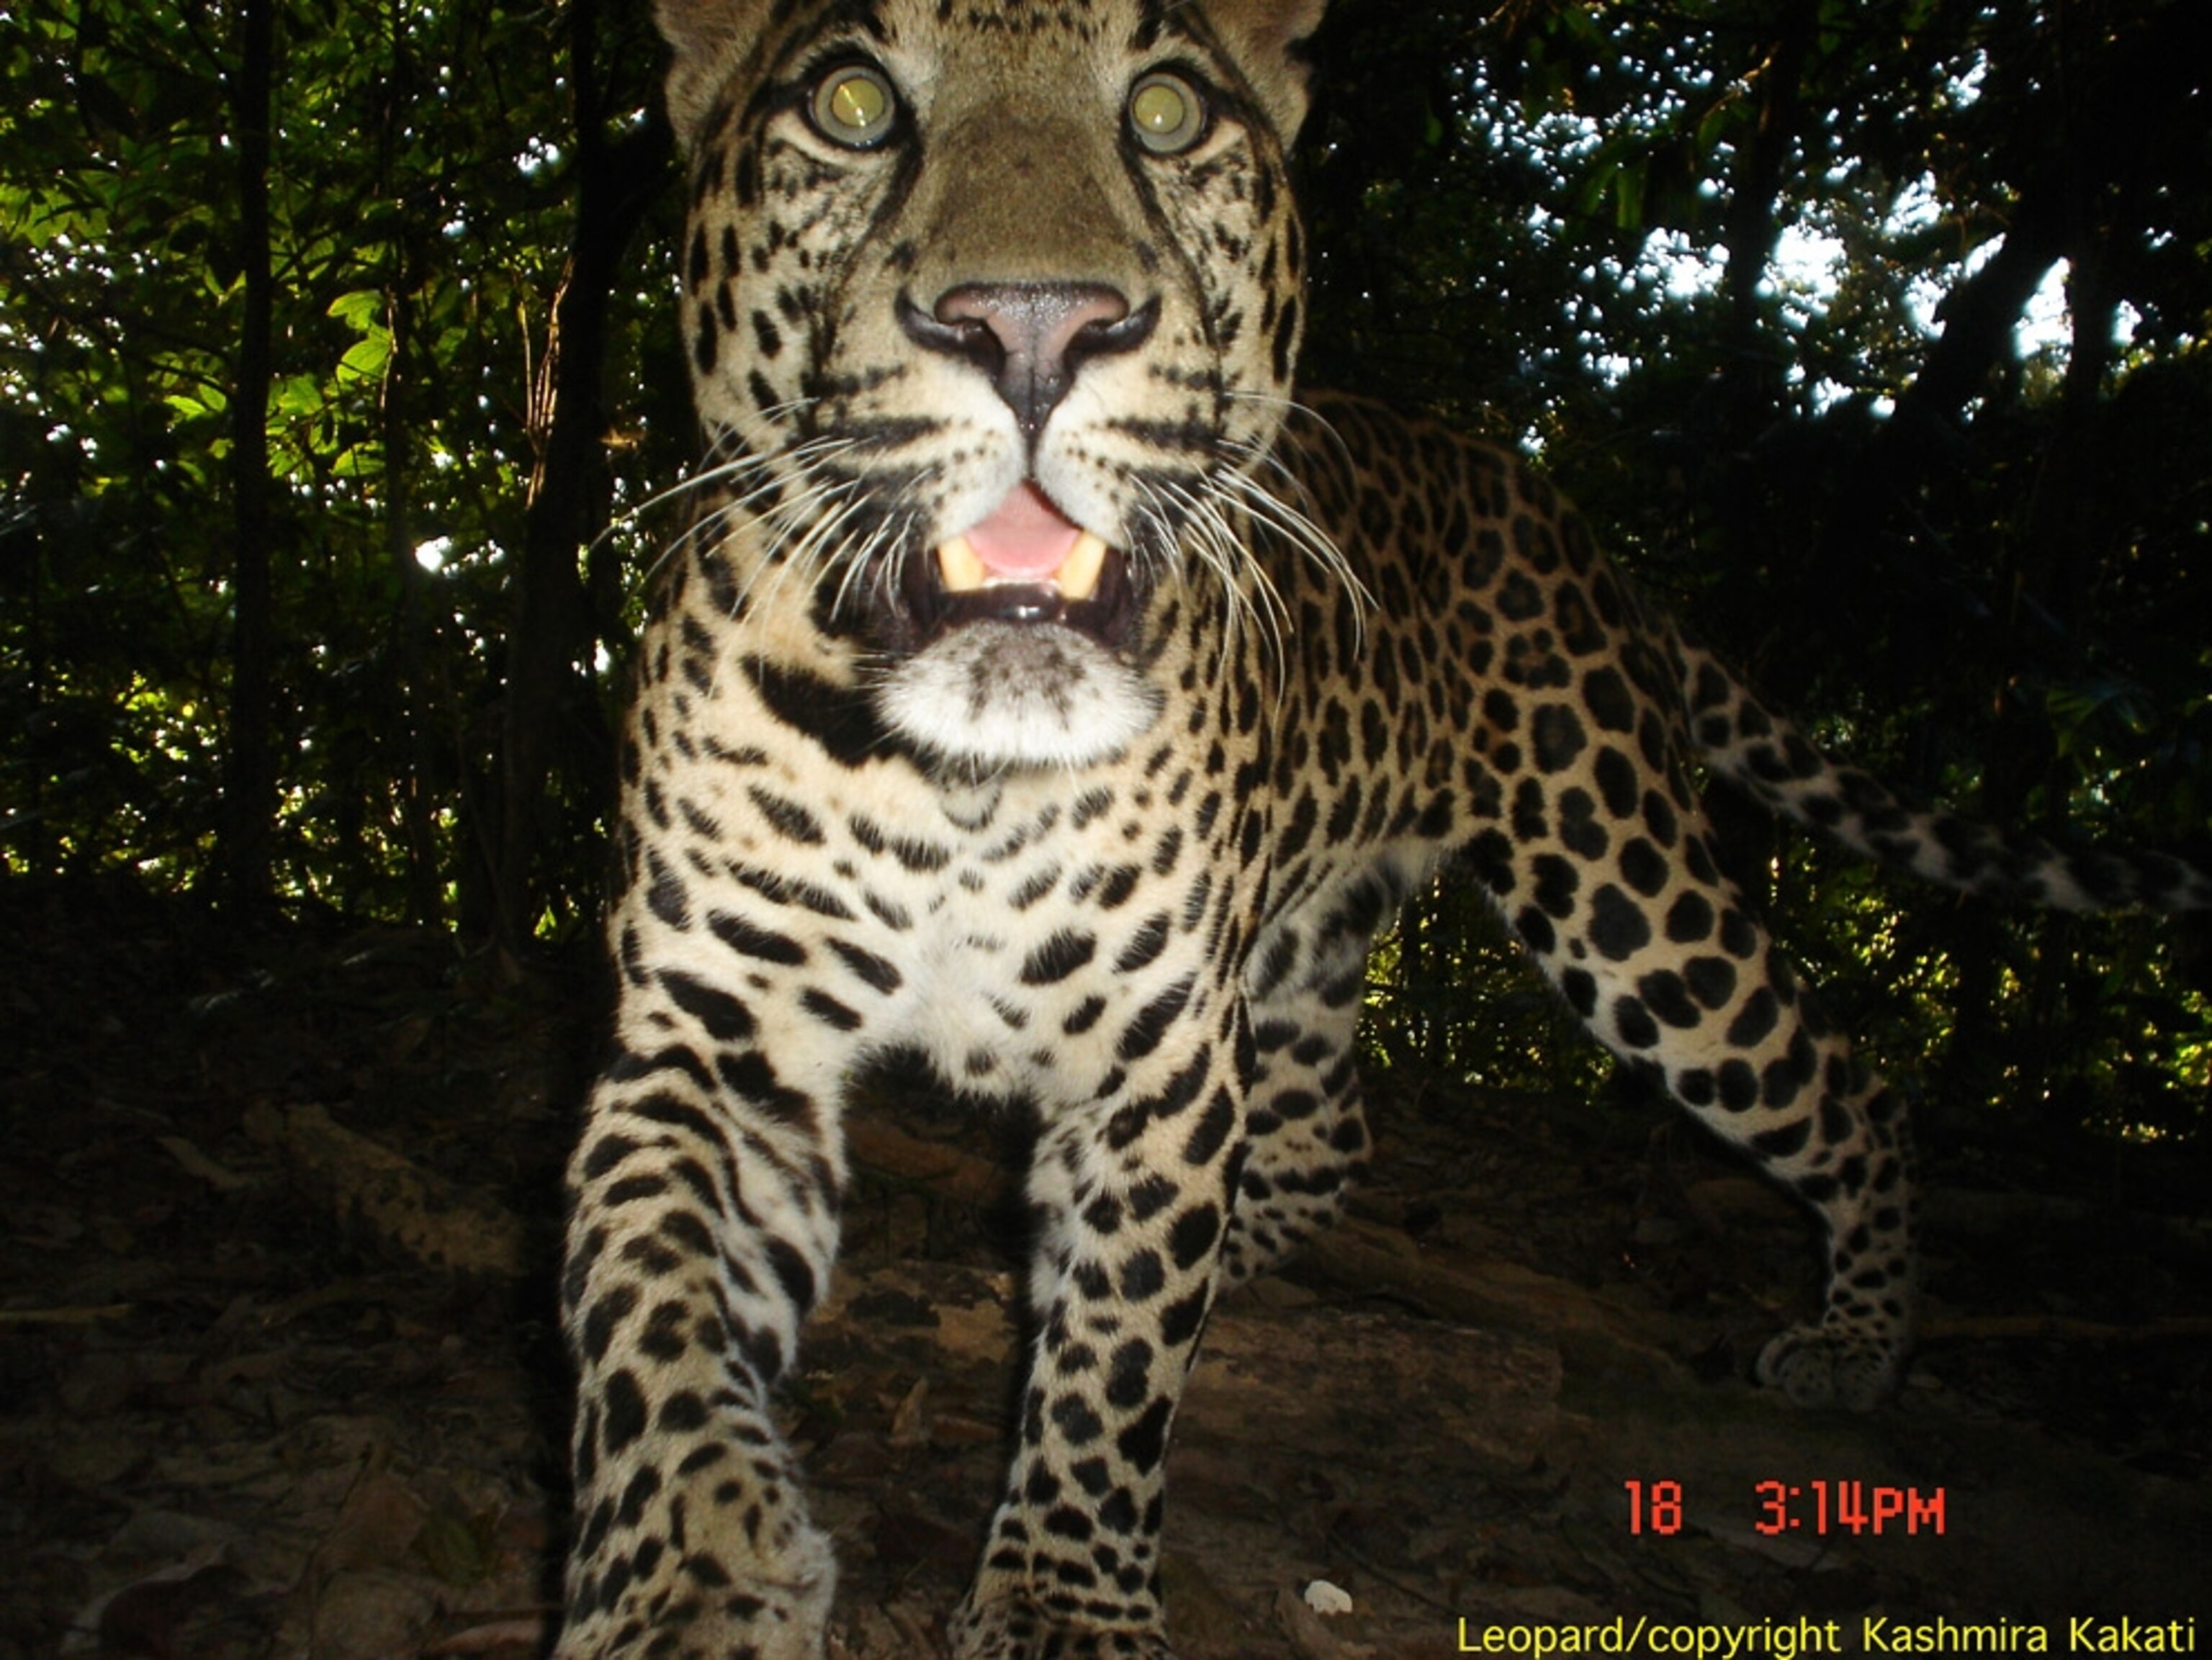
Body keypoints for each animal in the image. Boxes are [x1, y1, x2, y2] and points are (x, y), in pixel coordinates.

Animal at [555, 0, 2212, 1655]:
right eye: (850, 102)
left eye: (1165, 112)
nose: (1032, 325)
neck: (960, 775)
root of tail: (1569, 523)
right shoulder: (713, 1043)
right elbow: (643, 1308)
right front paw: (692, 1572)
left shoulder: (1156, 1060)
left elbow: (1112, 1358)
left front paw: (1063, 1594)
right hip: (1302, 939)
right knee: (1326, 1129)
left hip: (1623, 896)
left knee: (1843, 1083)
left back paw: (1857, 1341)